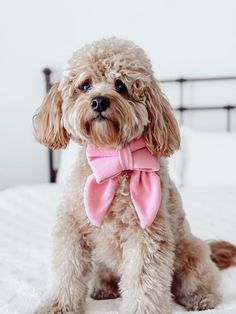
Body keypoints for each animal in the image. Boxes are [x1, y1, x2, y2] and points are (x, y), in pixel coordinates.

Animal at [33, 38, 236, 312]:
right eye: (85, 86)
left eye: (121, 86)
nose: (99, 101)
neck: (113, 159)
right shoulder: (72, 227)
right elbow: (67, 270)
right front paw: (58, 305)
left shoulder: (146, 236)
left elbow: (143, 280)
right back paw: (103, 288)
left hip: (191, 254)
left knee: (197, 279)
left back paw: (200, 297)